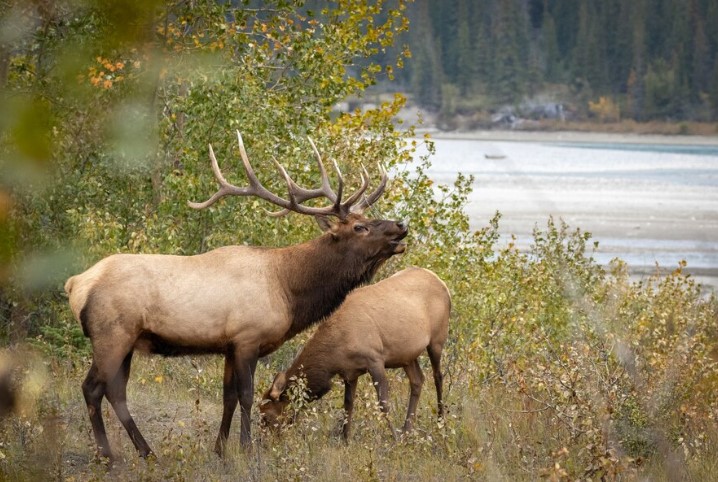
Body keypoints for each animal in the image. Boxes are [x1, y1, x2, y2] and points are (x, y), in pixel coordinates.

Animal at [64, 131, 408, 460]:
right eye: (360, 227)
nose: (401, 225)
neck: (288, 290)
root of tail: (76, 283)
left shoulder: (229, 345)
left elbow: (227, 397)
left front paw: (220, 450)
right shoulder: (247, 338)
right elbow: (246, 395)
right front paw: (246, 448)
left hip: (128, 340)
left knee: (116, 392)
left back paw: (147, 453)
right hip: (112, 334)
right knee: (92, 388)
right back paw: (109, 455)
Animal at [258, 268, 450, 440]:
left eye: (266, 416)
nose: (263, 442)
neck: (333, 356)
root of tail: (442, 282)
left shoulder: (375, 360)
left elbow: (383, 403)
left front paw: (394, 438)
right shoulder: (350, 373)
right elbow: (348, 405)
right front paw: (345, 439)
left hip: (436, 340)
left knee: (438, 376)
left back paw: (440, 422)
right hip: (407, 356)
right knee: (418, 380)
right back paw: (407, 429)